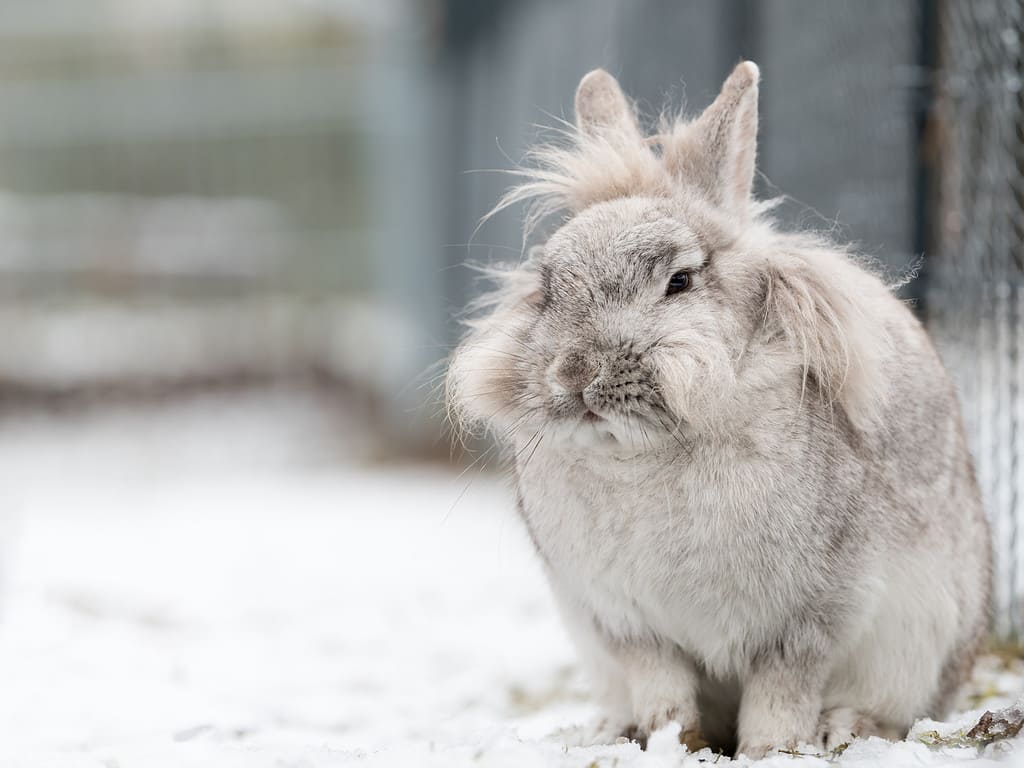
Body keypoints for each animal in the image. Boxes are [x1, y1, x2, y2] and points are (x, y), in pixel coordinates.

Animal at [448, 63, 991, 761]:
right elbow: (665, 693)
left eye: (679, 281)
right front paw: (667, 743)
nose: (577, 374)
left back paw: (846, 729)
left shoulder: (809, 618)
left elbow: (780, 693)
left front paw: (770, 752)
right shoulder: (626, 624)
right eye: (546, 288)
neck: (640, 455)